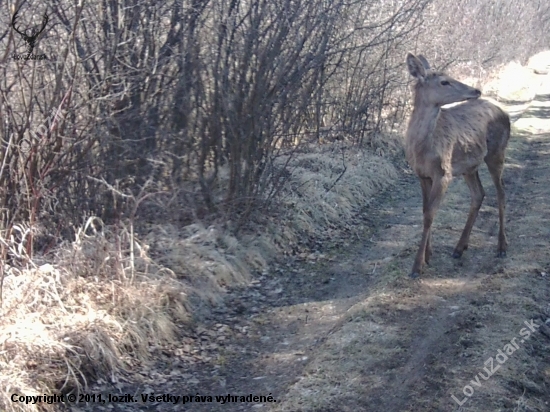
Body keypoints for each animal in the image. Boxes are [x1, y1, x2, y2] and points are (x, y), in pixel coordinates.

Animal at [406, 53, 512, 278]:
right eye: (444, 82)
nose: (476, 90)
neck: (421, 148)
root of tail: (505, 112)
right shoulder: (421, 174)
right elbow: (425, 210)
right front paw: (428, 255)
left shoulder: (443, 173)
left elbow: (429, 214)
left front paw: (417, 266)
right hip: (469, 165)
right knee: (479, 194)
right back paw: (459, 248)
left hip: (496, 152)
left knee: (501, 192)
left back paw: (502, 246)